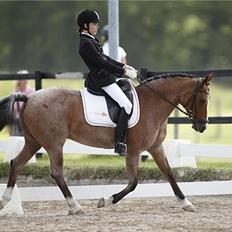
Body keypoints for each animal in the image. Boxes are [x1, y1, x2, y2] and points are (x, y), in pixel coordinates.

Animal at [0, 73, 212, 216]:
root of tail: (30, 97)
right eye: (202, 99)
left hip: (33, 142)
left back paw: (5, 201)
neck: (153, 104)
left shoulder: (155, 148)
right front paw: (106, 201)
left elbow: (169, 174)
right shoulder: (134, 151)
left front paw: (186, 203)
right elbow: (133, 183)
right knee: (56, 172)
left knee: (16, 163)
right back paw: (75, 206)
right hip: (54, 145)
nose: (202, 127)